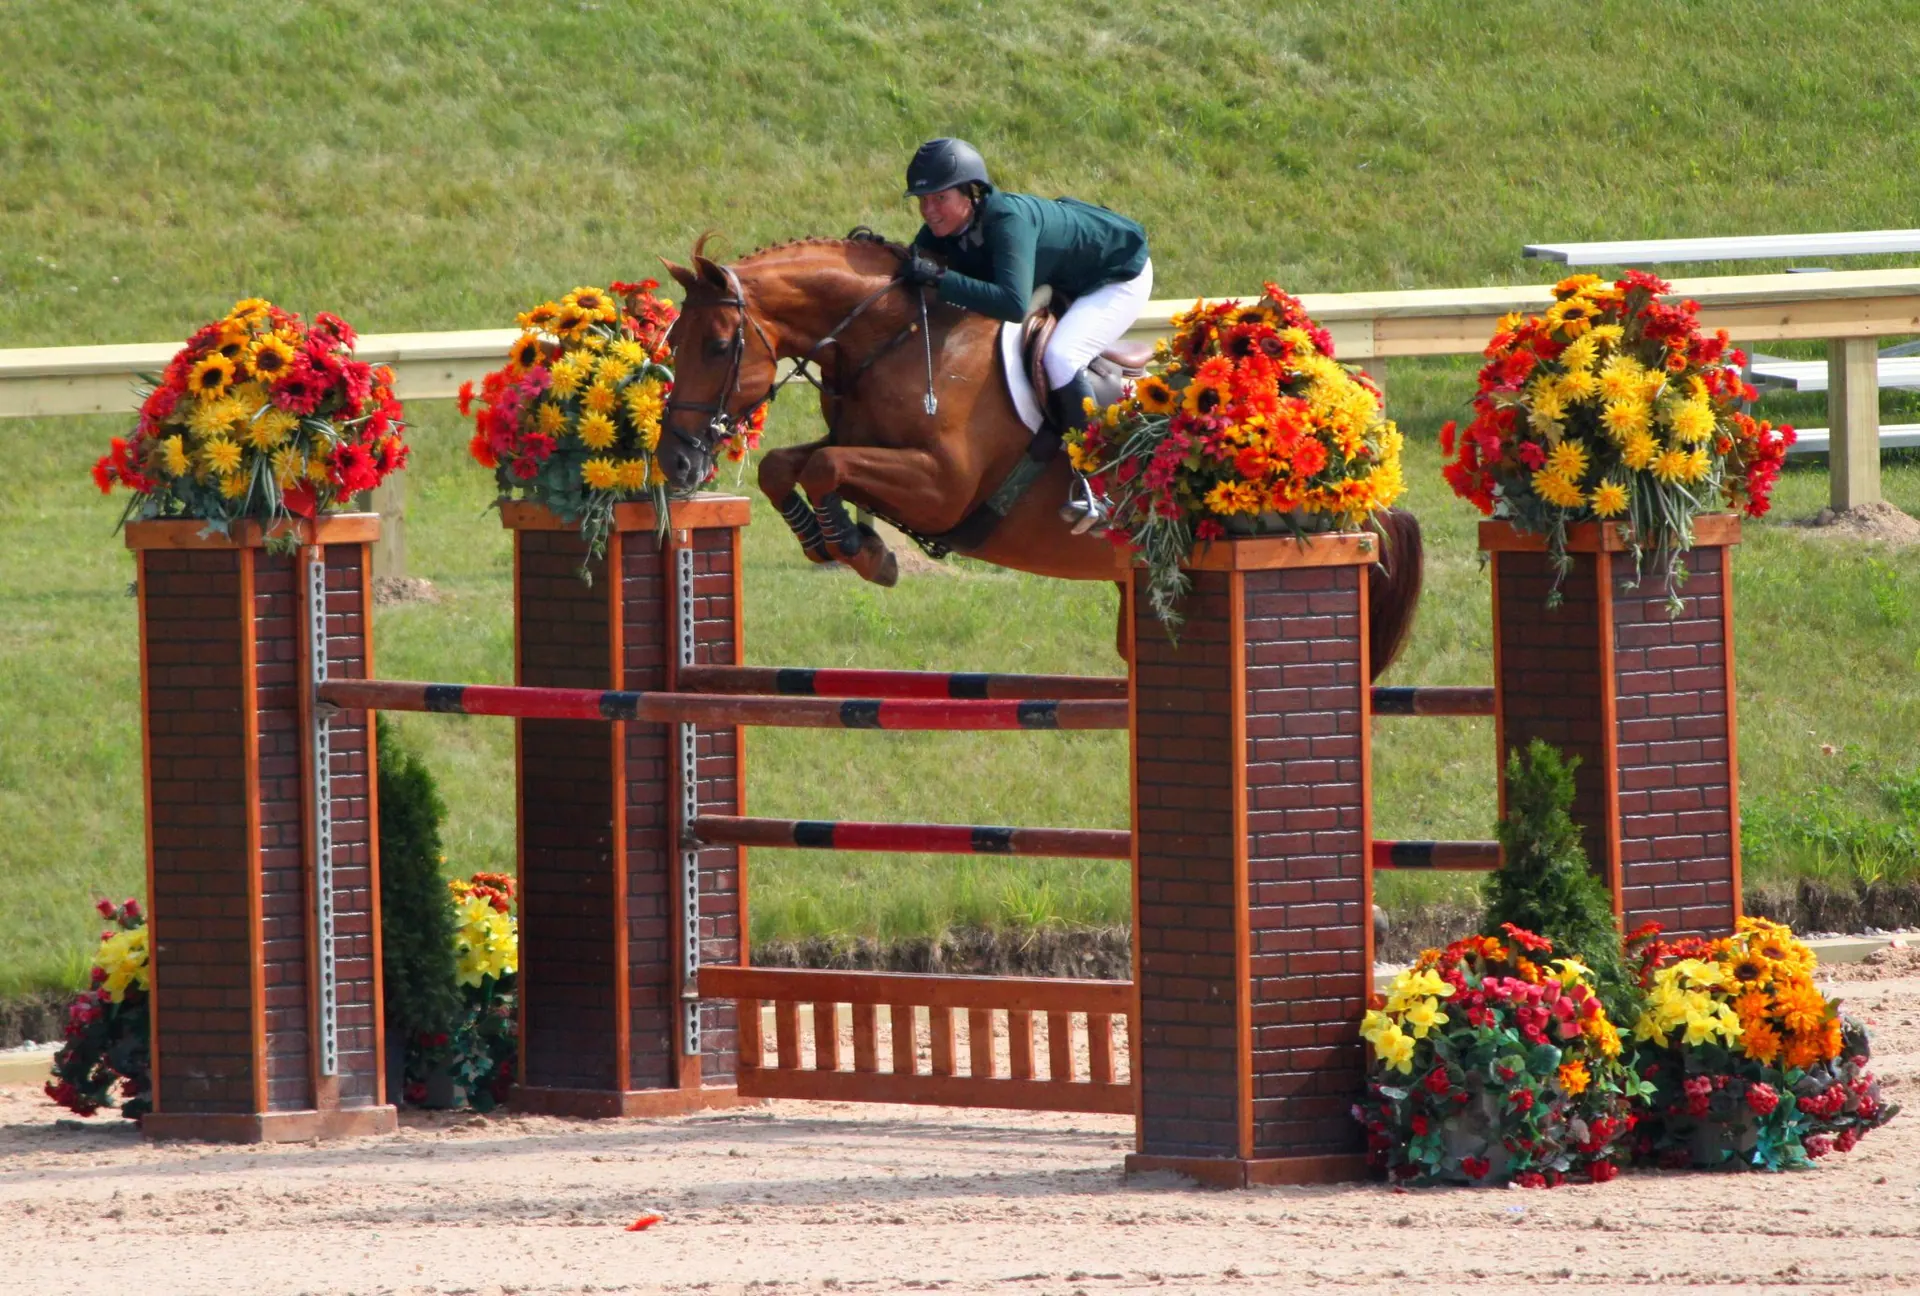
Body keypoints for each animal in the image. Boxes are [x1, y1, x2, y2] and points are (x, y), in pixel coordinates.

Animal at [657, 235, 1423, 676]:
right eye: (672, 340)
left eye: (718, 346)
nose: (676, 464)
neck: (898, 336)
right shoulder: (860, 443)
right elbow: (785, 465)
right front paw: (832, 539)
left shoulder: (940, 487)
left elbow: (823, 467)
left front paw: (861, 549)